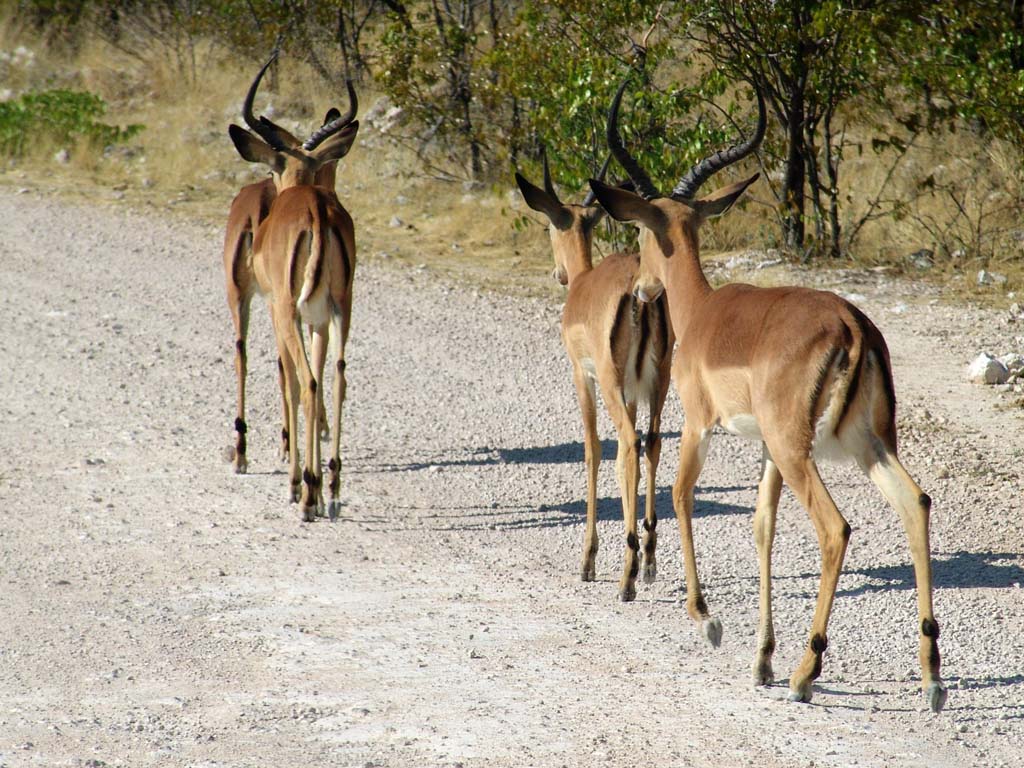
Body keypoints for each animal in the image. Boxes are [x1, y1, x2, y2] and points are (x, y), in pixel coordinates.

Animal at [228, 55, 360, 524]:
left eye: (272, 166)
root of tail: (317, 210)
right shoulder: (318, 319)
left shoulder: (278, 310)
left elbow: (287, 378)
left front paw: (297, 483)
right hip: (341, 311)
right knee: (335, 377)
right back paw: (332, 492)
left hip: (284, 310)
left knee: (302, 381)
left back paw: (304, 494)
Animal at [512, 153, 671, 606]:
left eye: (549, 225)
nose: (558, 274)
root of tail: (639, 294)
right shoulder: (633, 390)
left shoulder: (582, 376)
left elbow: (592, 450)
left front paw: (587, 561)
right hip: (660, 382)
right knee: (650, 443)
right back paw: (647, 563)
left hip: (613, 383)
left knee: (628, 446)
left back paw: (626, 579)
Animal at [589, 79, 946, 716]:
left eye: (640, 230)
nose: (643, 288)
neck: (704, 312)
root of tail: (853, 325)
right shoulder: (763, 453)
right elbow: (762, 528)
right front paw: (760, 659)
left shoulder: (700, 425)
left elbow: (681, 495)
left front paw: (706, 620)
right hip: (864, 444)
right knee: (916, 503)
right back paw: (931, 678)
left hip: (799, 449)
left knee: (836, 528)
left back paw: (808, 672)